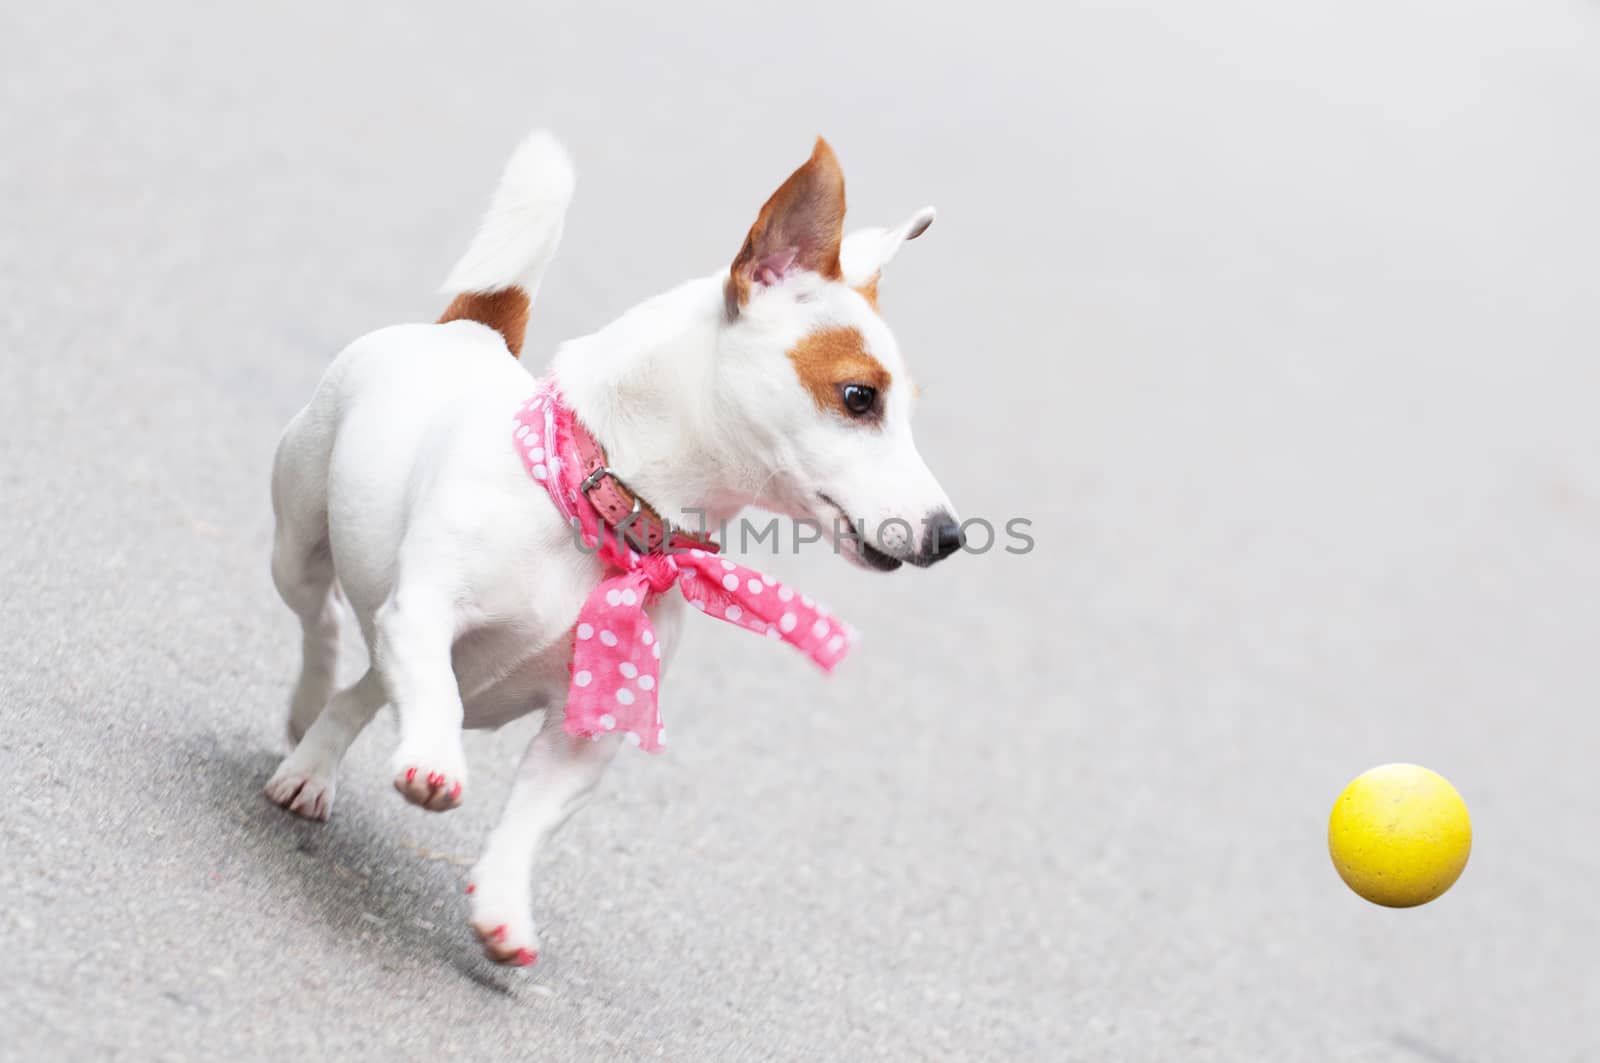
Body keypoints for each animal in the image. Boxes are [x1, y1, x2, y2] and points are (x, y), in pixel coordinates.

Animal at [265, 130, 960, 960]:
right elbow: (430, 683)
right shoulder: (424, 612)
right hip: (299, 546)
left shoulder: (584, 731)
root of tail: (470, 329)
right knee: (326, 623)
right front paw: (432, 758)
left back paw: (313, 763)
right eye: (859, 397)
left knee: (364, 690)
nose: (951, 534)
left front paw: (503, 903)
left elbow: (529, 819)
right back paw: (312, 706)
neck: (603, 512)